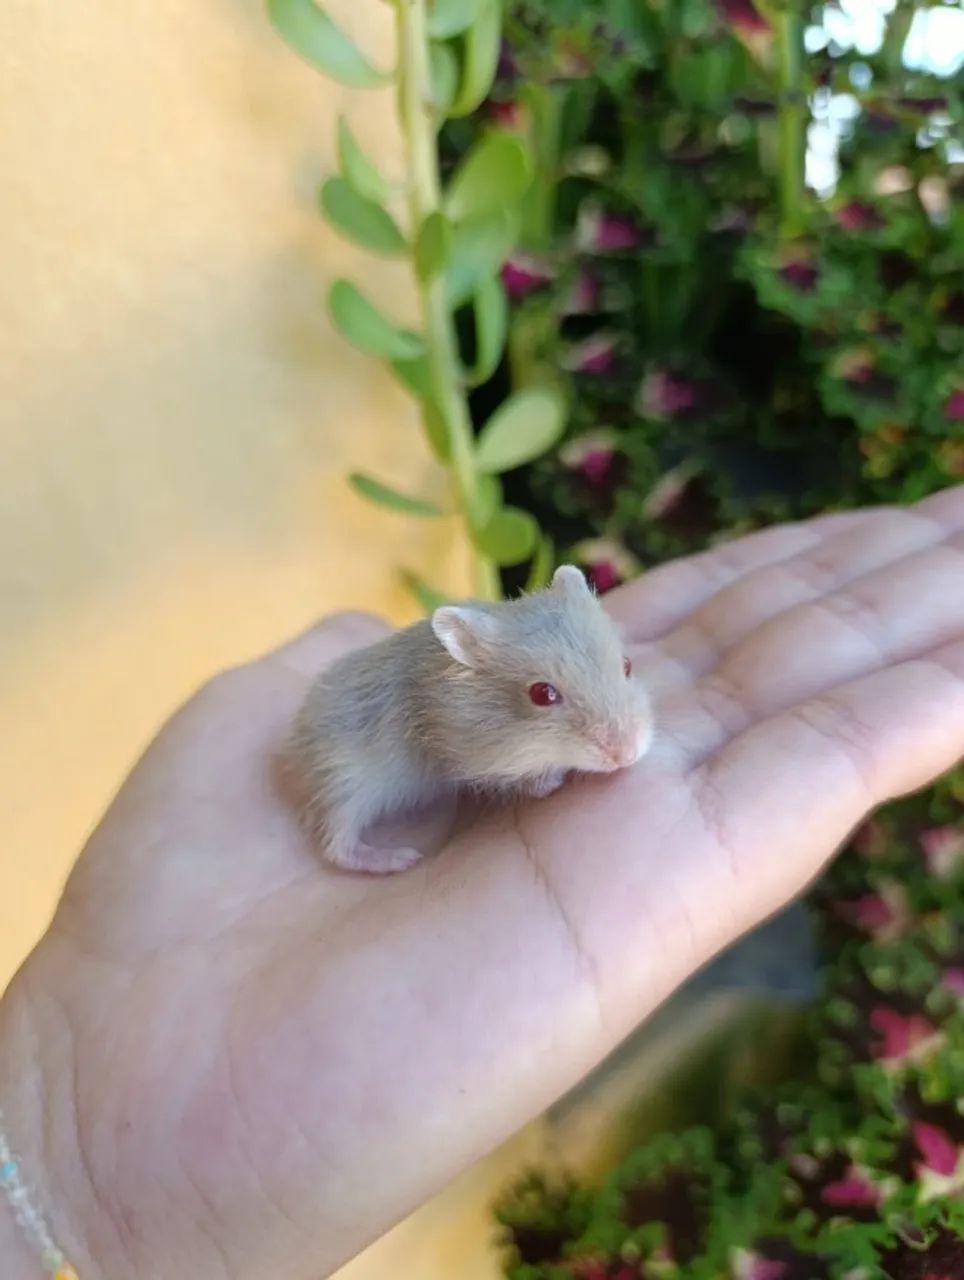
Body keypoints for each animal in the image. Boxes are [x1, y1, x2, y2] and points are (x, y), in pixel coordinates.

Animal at [287, 564, 653, 874]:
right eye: (543, 694)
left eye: (626, 665)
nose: (628, 755)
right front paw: (552, 780)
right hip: (343, 783)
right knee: (337, 845)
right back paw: (399, 859)